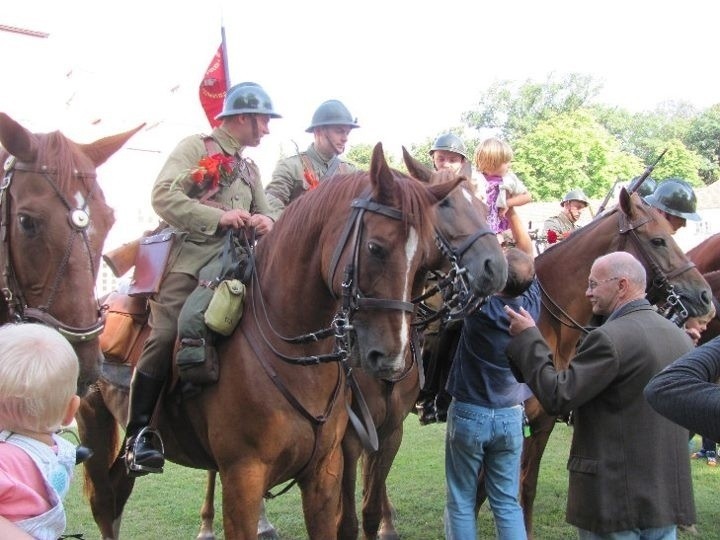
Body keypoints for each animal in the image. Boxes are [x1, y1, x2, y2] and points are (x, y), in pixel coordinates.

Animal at [79, 143, 470, 540]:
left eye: (423, 260)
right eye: (376, 248)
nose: (390, 359)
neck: (295, 356)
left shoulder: (325, 474)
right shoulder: (243, 479)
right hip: (93, 428)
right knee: (104, 502)